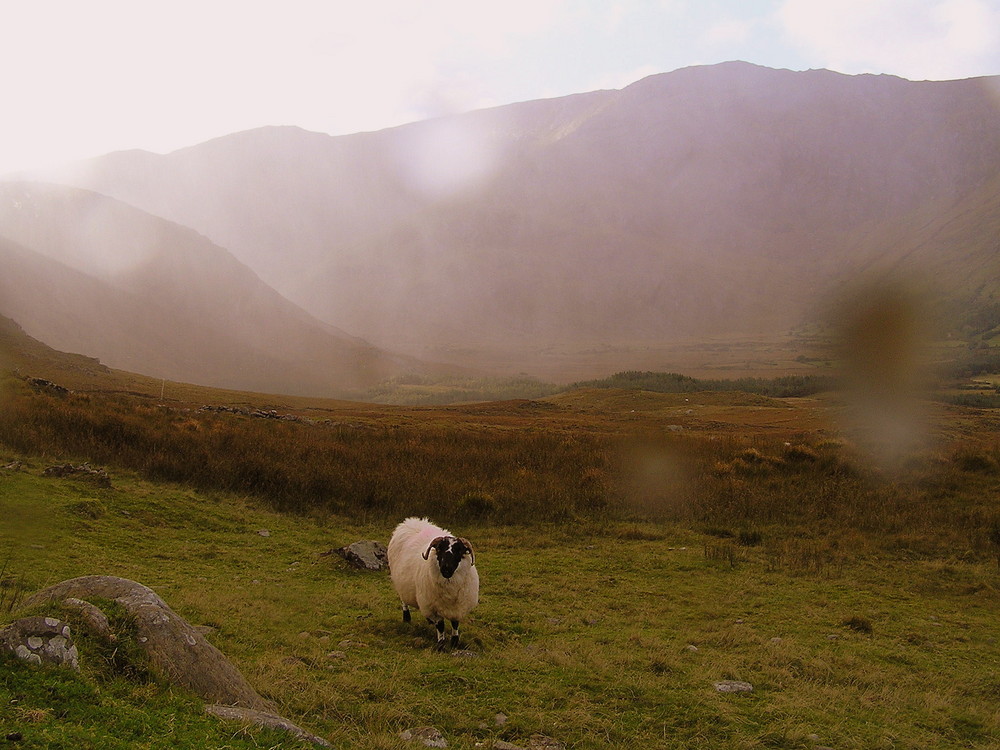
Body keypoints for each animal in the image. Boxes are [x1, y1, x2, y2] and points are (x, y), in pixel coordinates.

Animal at [386, 516, 480, 652]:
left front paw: (454, 642)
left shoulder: (457, 607)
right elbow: (440, 625)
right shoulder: (433, 607)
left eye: (459, 550)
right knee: (404, 600)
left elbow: (455, 623)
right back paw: (407, 618)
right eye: (439, 549)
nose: (446, 568)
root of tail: (410, 522)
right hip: (400, 582)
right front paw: (441, 645)